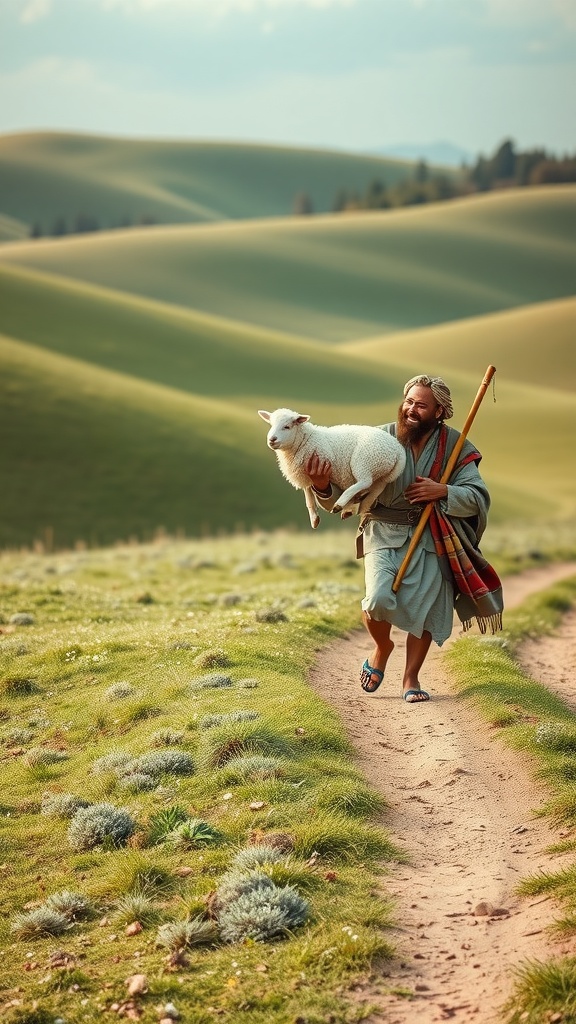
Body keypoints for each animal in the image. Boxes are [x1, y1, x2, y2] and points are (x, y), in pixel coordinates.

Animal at [255, 403, 403, 528]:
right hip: (384, 474)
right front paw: (314, 519)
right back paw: (354, 506)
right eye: (271, 425)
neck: (305, 439)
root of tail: (398, 449)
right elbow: (308, 496)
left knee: (365, 481)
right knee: (374, 489)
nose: (271, 440)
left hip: (365, 461)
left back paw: (340, 504)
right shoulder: (304, 473)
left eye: (287, 426)